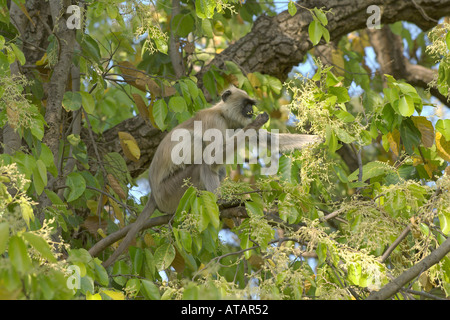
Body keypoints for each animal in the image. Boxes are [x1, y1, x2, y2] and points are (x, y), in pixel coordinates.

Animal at [102, 85, 320, 268]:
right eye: (246, 104)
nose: (250, 111)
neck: (223, 114)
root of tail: (154, 196)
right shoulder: (215, 123)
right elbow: (212, 157)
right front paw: (257, 122)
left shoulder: (234, 125)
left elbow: (269, 140)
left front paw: (321, 138)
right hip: (170, 192)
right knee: (203, 161)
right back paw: (222, 203)